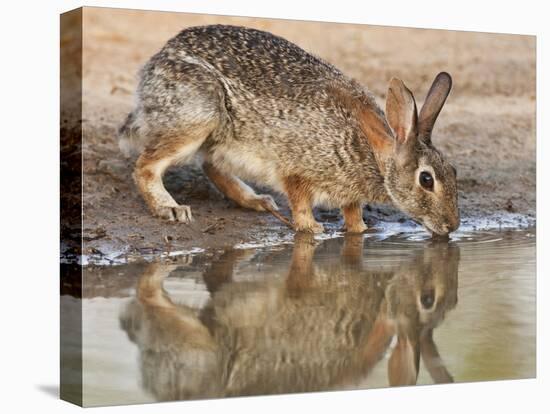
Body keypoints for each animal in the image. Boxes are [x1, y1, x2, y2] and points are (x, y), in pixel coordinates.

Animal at [119, 24, 462, 234]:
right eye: (426, 180)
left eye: (453, 171)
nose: (453, 226)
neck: (372, 152)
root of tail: (155, 64)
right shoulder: (296, 171)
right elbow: (300, 203)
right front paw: (313, 230)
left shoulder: (349, 194)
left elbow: (352, 215)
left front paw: (361, 231)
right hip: (197, 116)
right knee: (146, 167)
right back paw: (171, 209)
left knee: (212, 165)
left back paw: (257, 201)